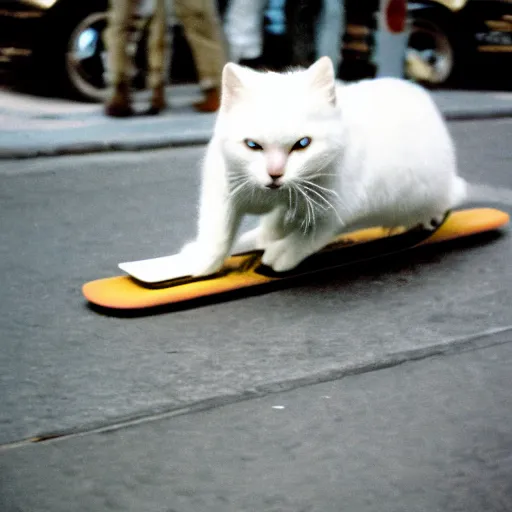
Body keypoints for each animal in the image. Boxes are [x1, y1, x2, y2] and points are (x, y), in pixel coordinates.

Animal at [182, 56, 466, 276]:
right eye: (253, 145)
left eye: (302, 144)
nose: (275, 174)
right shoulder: (223, 186)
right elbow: (218, 233)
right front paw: (199, 263)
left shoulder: (335, 211)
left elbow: (306, 238)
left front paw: (281, 255)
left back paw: (432, 219)